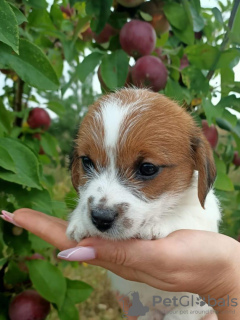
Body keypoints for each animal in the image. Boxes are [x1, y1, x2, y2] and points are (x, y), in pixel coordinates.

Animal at [67, 88, 221, 320]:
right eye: (87, 162)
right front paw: (78, 221)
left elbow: (185, 214)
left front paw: (157, 224)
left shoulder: (202, 216)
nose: (100, 218)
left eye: (147, 168)